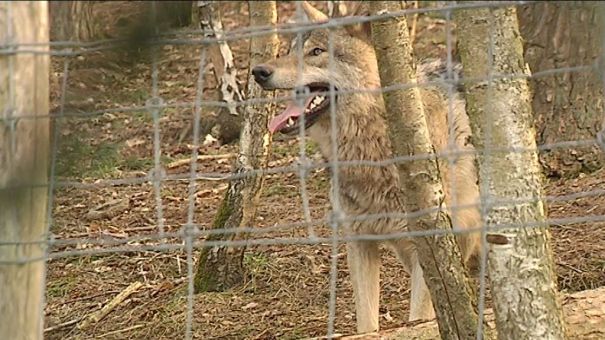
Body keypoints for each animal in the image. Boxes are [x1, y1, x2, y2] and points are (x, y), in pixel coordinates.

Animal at [249, 1, 476, 334]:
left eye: (317, 52)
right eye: (290, 50)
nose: (259, 72)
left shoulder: (429, 250)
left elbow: (417, 322)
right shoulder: (360, 243)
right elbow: (366, 324)